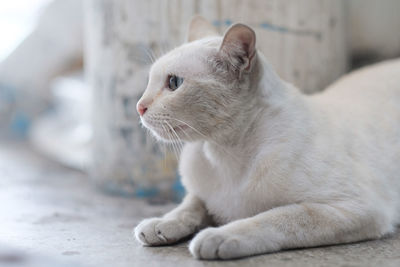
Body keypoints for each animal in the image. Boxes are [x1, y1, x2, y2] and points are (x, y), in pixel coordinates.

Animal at [133, 15, 400, 260]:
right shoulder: (202, 194)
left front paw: (218, 236)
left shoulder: (354, 207)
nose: (139, 107)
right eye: (151, 81)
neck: (223, 152)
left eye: (174, 83)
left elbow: (276, 218)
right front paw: (159, 224)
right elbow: (190, 206)